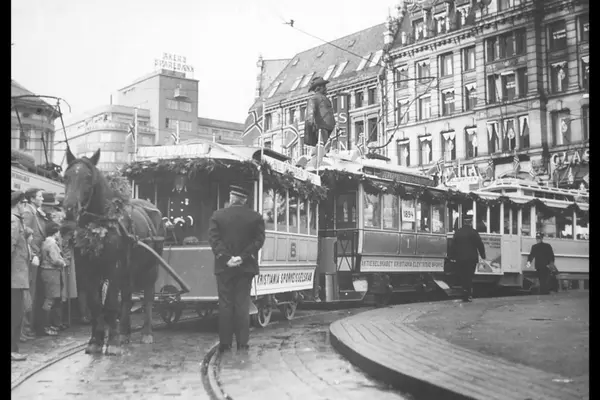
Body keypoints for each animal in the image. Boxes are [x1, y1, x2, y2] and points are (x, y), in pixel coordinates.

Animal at [63, 148, 165, 355]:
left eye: (88, 177)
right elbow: (96, 305)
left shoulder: (114, 267)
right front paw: (96, 340)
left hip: (150, 268)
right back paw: (125, 332)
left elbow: (110, 304)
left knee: (148, 297)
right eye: (66, 176)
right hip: (130, 270)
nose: (69, 209)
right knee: (127, 297)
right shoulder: (87, 271)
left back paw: (146, 332)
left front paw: (113, 342)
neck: (101, 224)